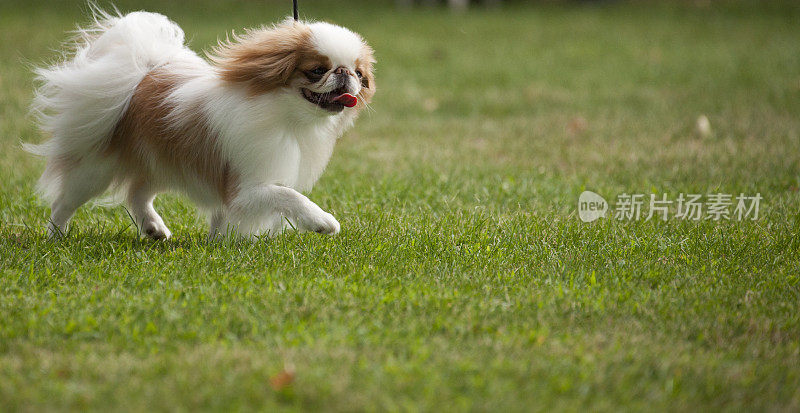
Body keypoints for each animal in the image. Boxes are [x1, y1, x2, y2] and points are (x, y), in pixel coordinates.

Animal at [25, 7, 376, 238]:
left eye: (359, 74)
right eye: (317, 70)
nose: (344, 74)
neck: (289, 118)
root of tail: (142, 76)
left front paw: (220, 244)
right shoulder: (246, 189)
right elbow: (288, 197)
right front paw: (322, 222)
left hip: (161, 163)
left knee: (137, 193)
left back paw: (153, 229)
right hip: (95, 171)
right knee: (64, 202)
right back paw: (56, 237)